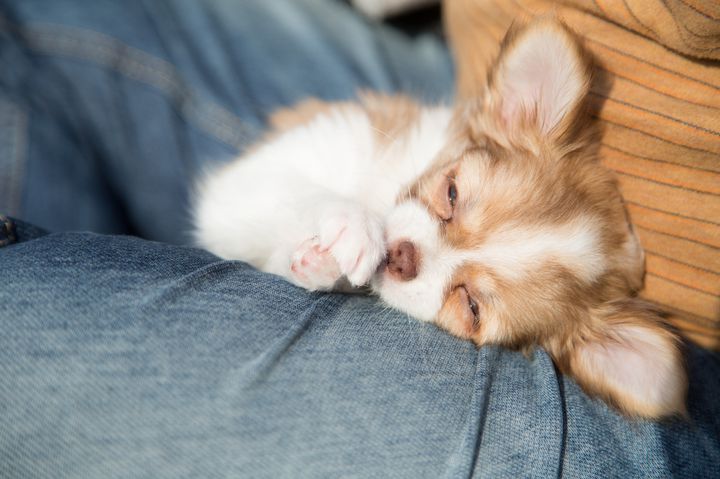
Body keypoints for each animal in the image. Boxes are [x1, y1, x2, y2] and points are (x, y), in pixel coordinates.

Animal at [195, 18, 688, 418]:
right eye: (451, 193)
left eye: (471, 307)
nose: (401, 256)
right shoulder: (249, 183)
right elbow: (306, 194)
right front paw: (354, 230)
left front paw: (321, 261)